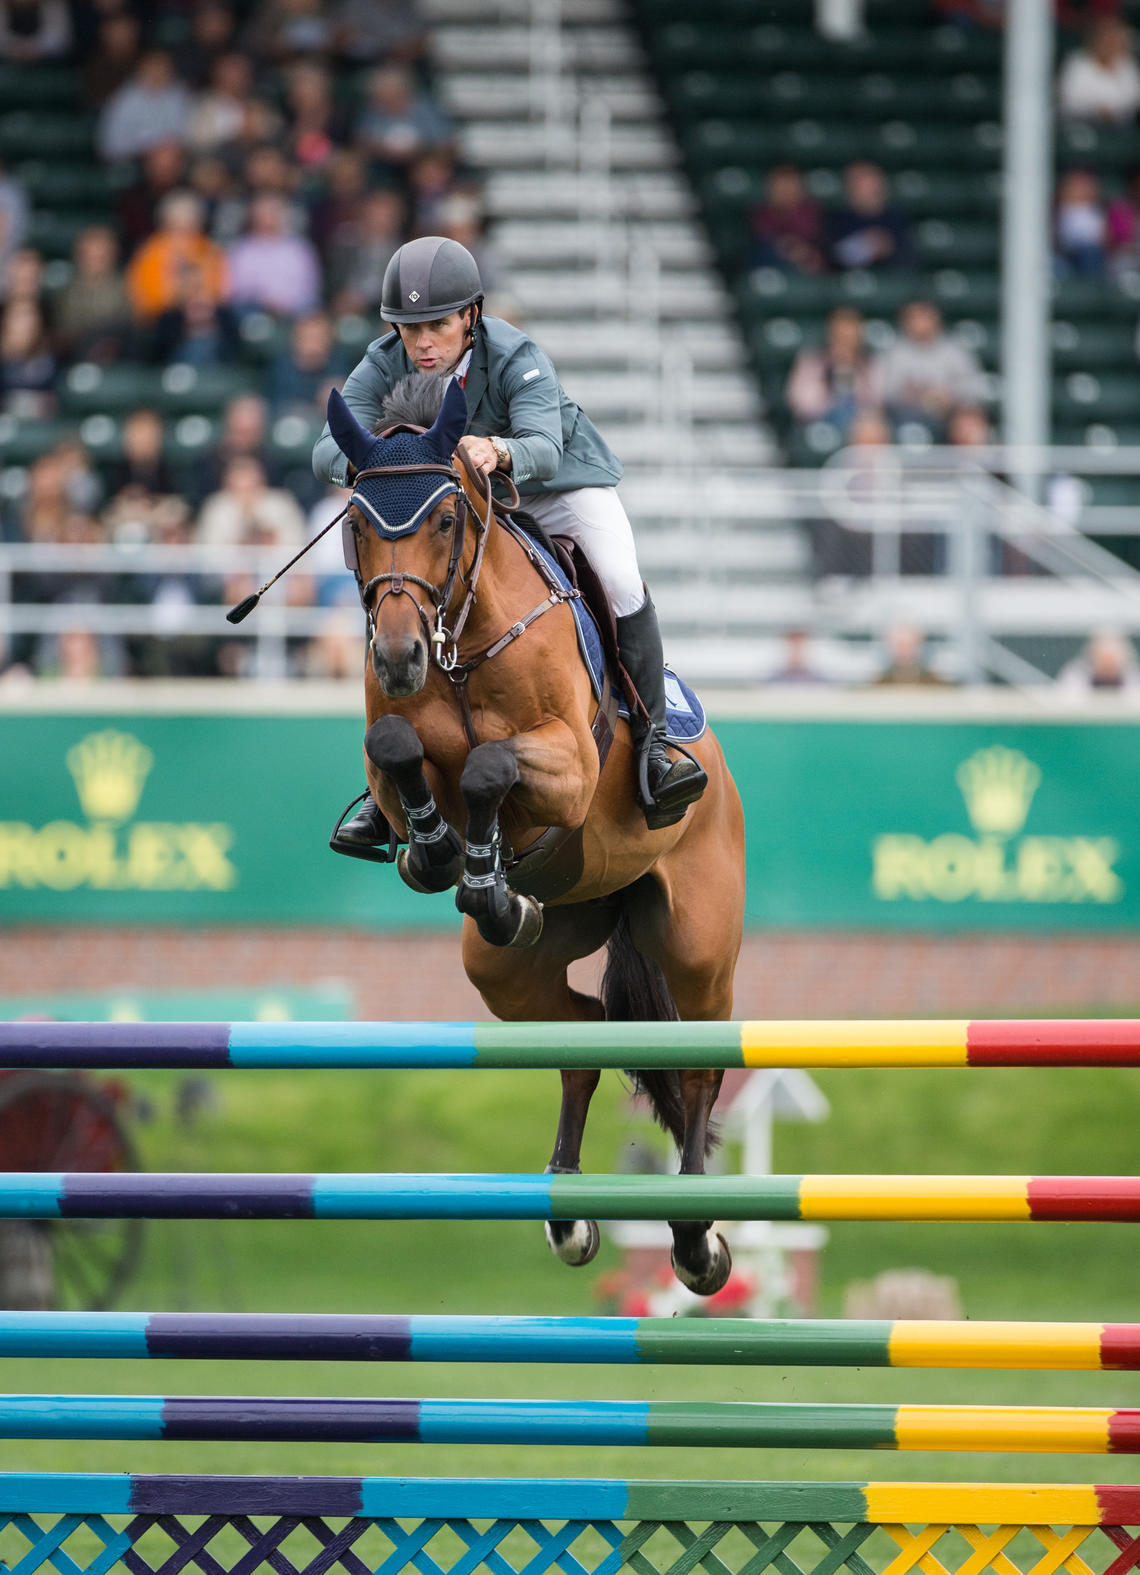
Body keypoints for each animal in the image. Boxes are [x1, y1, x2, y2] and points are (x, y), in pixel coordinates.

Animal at [324, 378, 749, 1291]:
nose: (399, 655)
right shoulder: (391, 746)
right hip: (517, 963)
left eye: (447, 518)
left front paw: (479, 868)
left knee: (698, 1064)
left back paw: (695, 1238)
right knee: (581, 1034)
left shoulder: (569, 764)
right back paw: (568, 1212)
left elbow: (490, 764)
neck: (458, 639)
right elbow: (399, 750)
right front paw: (447, 858)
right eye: (356, 521)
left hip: (697, 942)